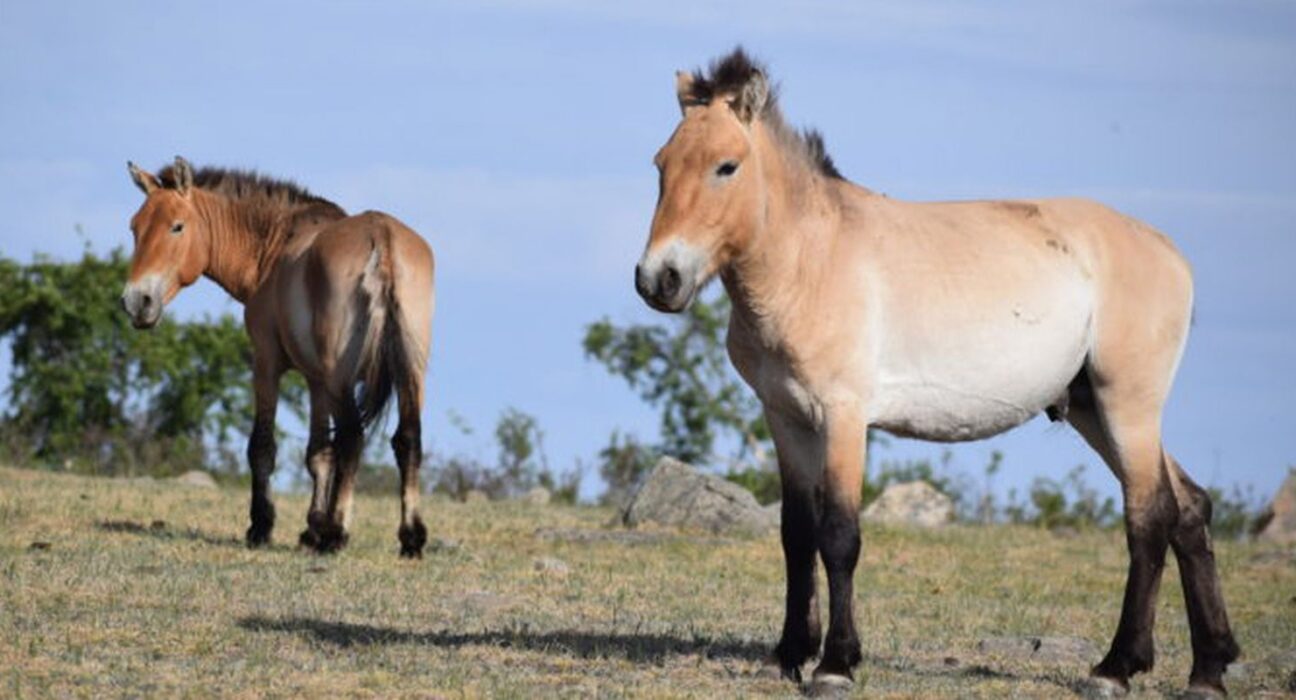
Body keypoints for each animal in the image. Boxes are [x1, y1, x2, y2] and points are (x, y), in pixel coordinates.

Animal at [122, 157, 435, 558]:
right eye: (135, 227)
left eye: (177, 226)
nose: (136, 302)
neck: (274, 245)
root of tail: (381, 238)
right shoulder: (316, 383)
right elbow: (319, 453)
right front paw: (311, 528)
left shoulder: (267, 364)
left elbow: (263, 446)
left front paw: (263, 526)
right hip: (409, 376)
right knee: (407, 439)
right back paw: (410, 538)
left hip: (342, 379)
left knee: (352, 437)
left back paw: (337, 533)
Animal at [634, 49, 1239, 697]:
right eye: (661, 164)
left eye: (726, 166)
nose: (658, 279)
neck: (810, 260)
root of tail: (1170, 254)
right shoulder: (785, 417)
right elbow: (796, 534)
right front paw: (790, 655)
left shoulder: (843, 416)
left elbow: (839, 536)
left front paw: (835, 664)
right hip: (1089, 409)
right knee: (1190, 508)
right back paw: (1208, 668)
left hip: (1127, 404)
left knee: (1149, 517)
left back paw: (1116, 668)